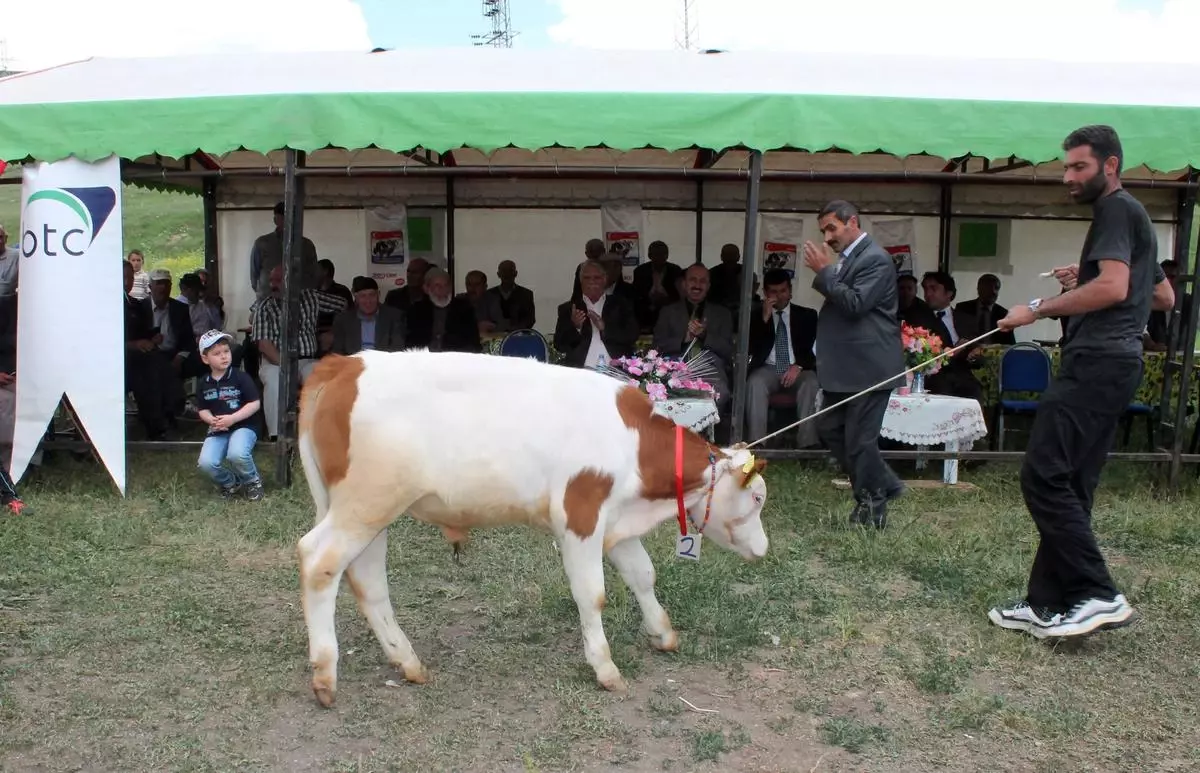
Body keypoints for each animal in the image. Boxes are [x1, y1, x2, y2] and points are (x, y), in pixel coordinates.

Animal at [295, 348, 772, 705]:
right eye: (757, 498)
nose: (764, 550)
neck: (632, 442)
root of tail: (345, 363)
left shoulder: (615, 520)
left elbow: (643, 574)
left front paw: (662, 633)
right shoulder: (581, 515)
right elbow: (593, 594)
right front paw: (605, 667)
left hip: (371, 510)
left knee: (368, 580)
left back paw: (407, 662)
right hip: (366, 502)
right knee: (318, 560)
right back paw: (325, 676)